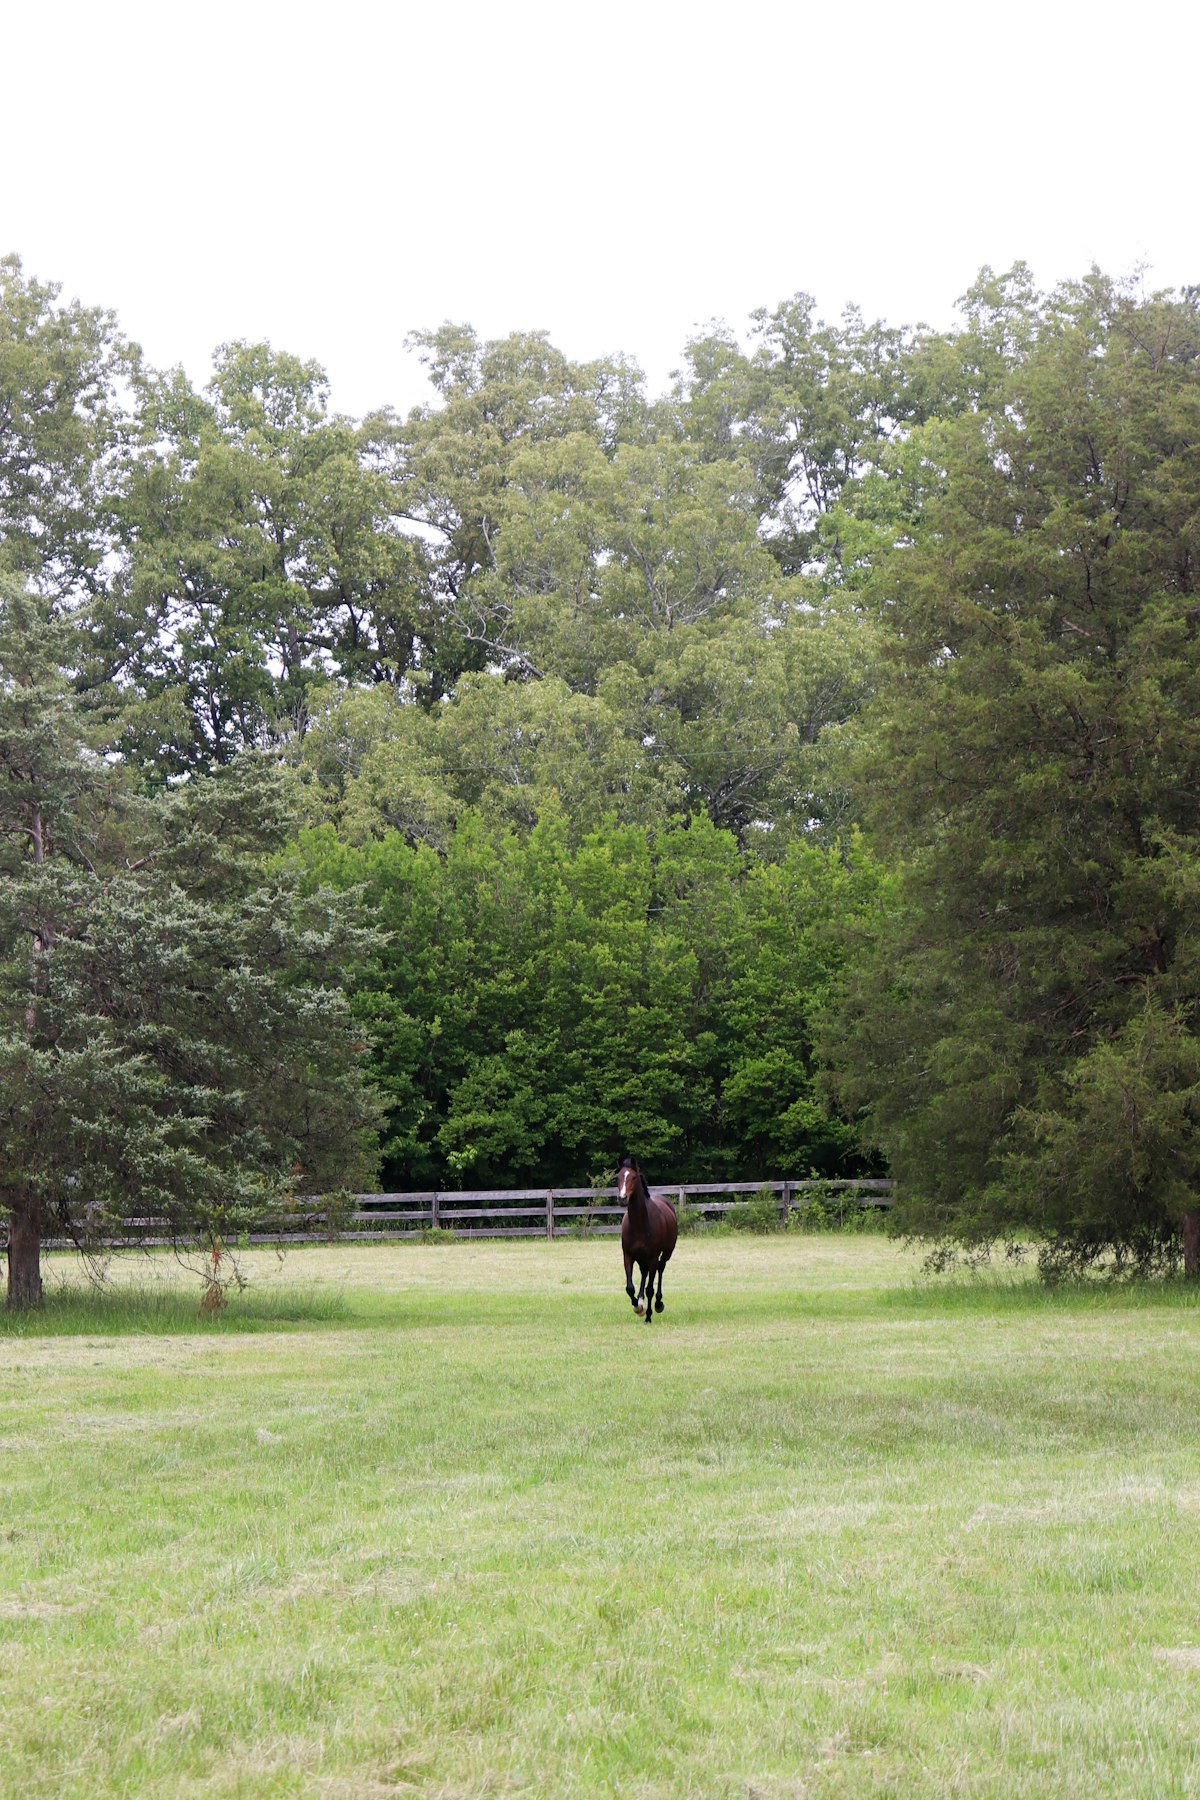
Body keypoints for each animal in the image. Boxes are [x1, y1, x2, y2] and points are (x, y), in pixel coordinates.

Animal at [617, 1156, 678, 1326]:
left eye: (633, 1177)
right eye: (618, 1177)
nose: (622, 1198)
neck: (640, 1223)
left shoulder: (652, 1257)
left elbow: (650, 1289)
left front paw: (648, 1315)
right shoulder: (628, 1256)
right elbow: (629, 1287)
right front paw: (638, 1306)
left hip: (666, 1253)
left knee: (660, 1269)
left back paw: (658, 1304)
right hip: (641, 1258)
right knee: (644, 1273)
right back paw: (641, 1301)